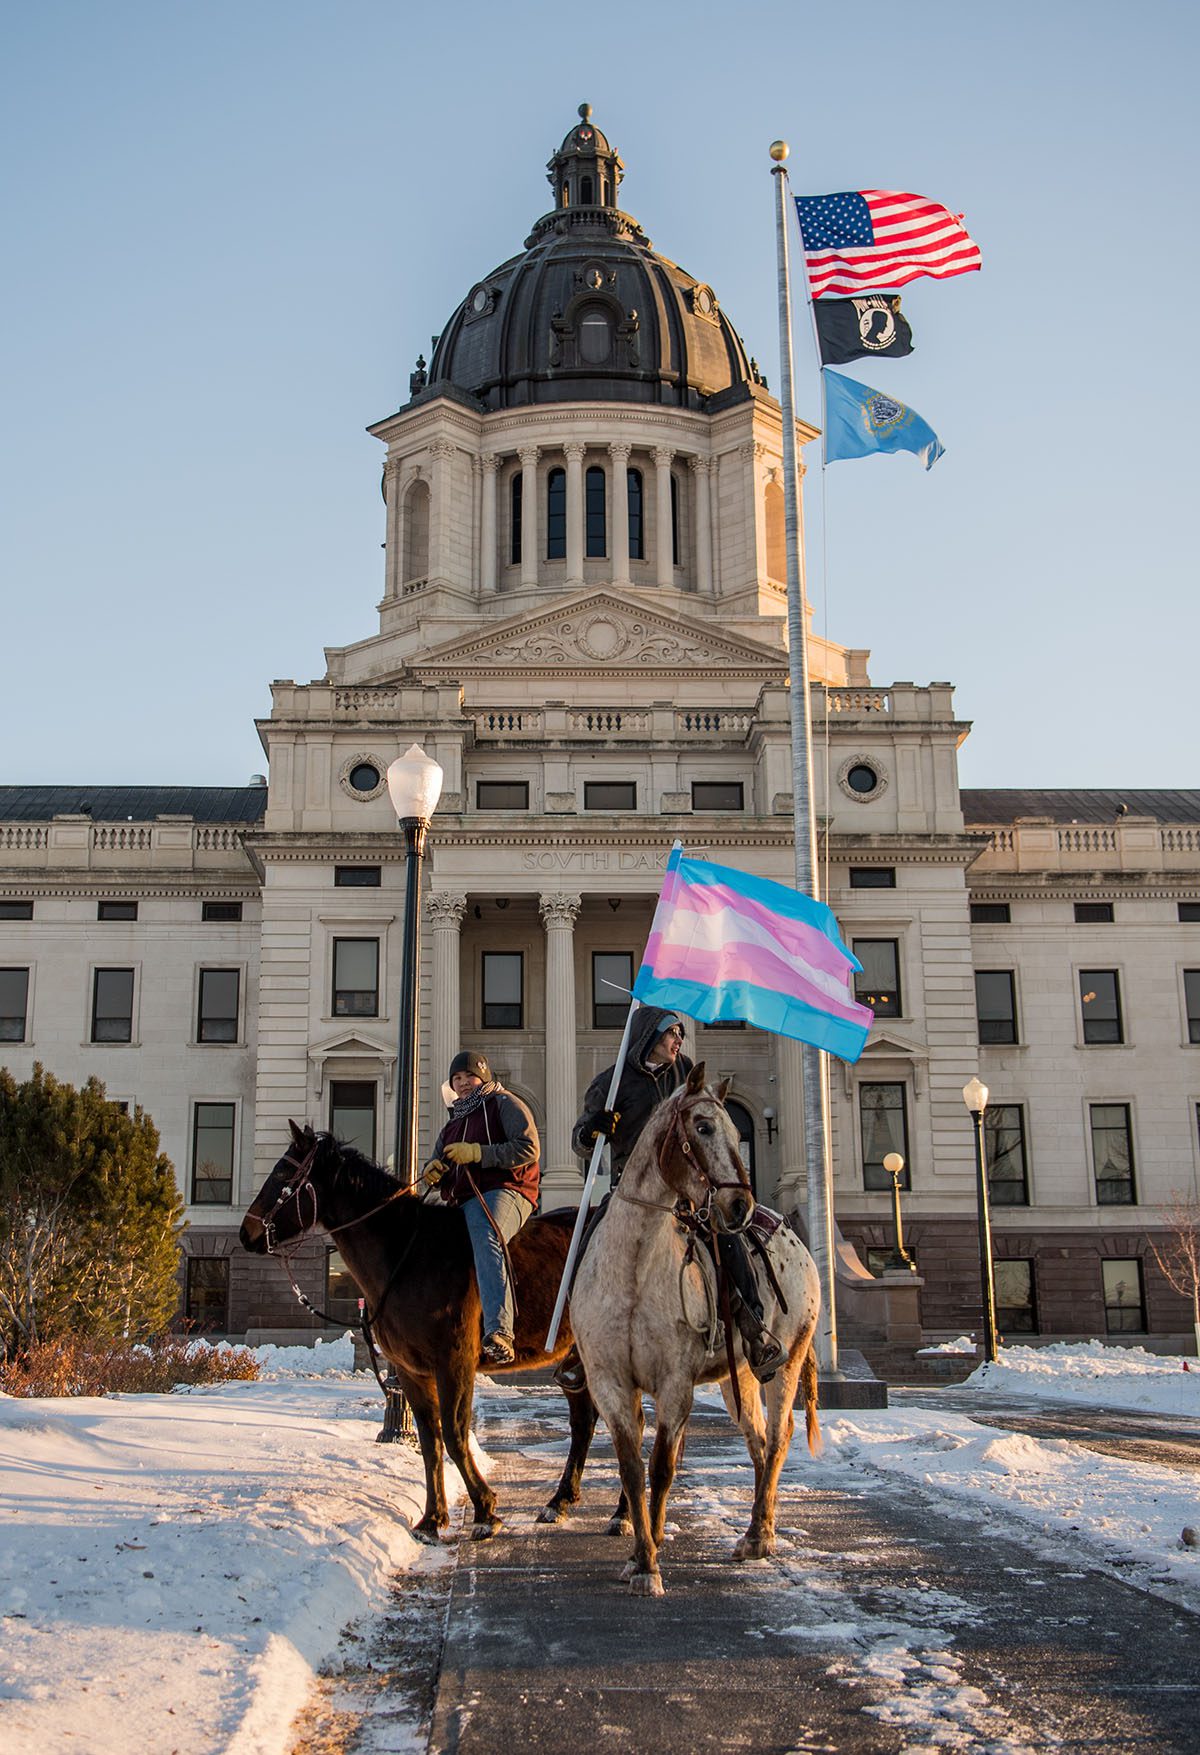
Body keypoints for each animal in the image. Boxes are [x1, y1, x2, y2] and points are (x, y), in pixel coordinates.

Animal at [242, 1123, 600, 1537]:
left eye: (283, 1174)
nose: (246, 1232)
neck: (407, 1253)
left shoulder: (454, 1363)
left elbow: (455, 1435)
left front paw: (485, 1509)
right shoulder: (411, 1371)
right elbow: (431, 1440)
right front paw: (432, 1519)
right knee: (587, 1421)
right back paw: (563, 1501)